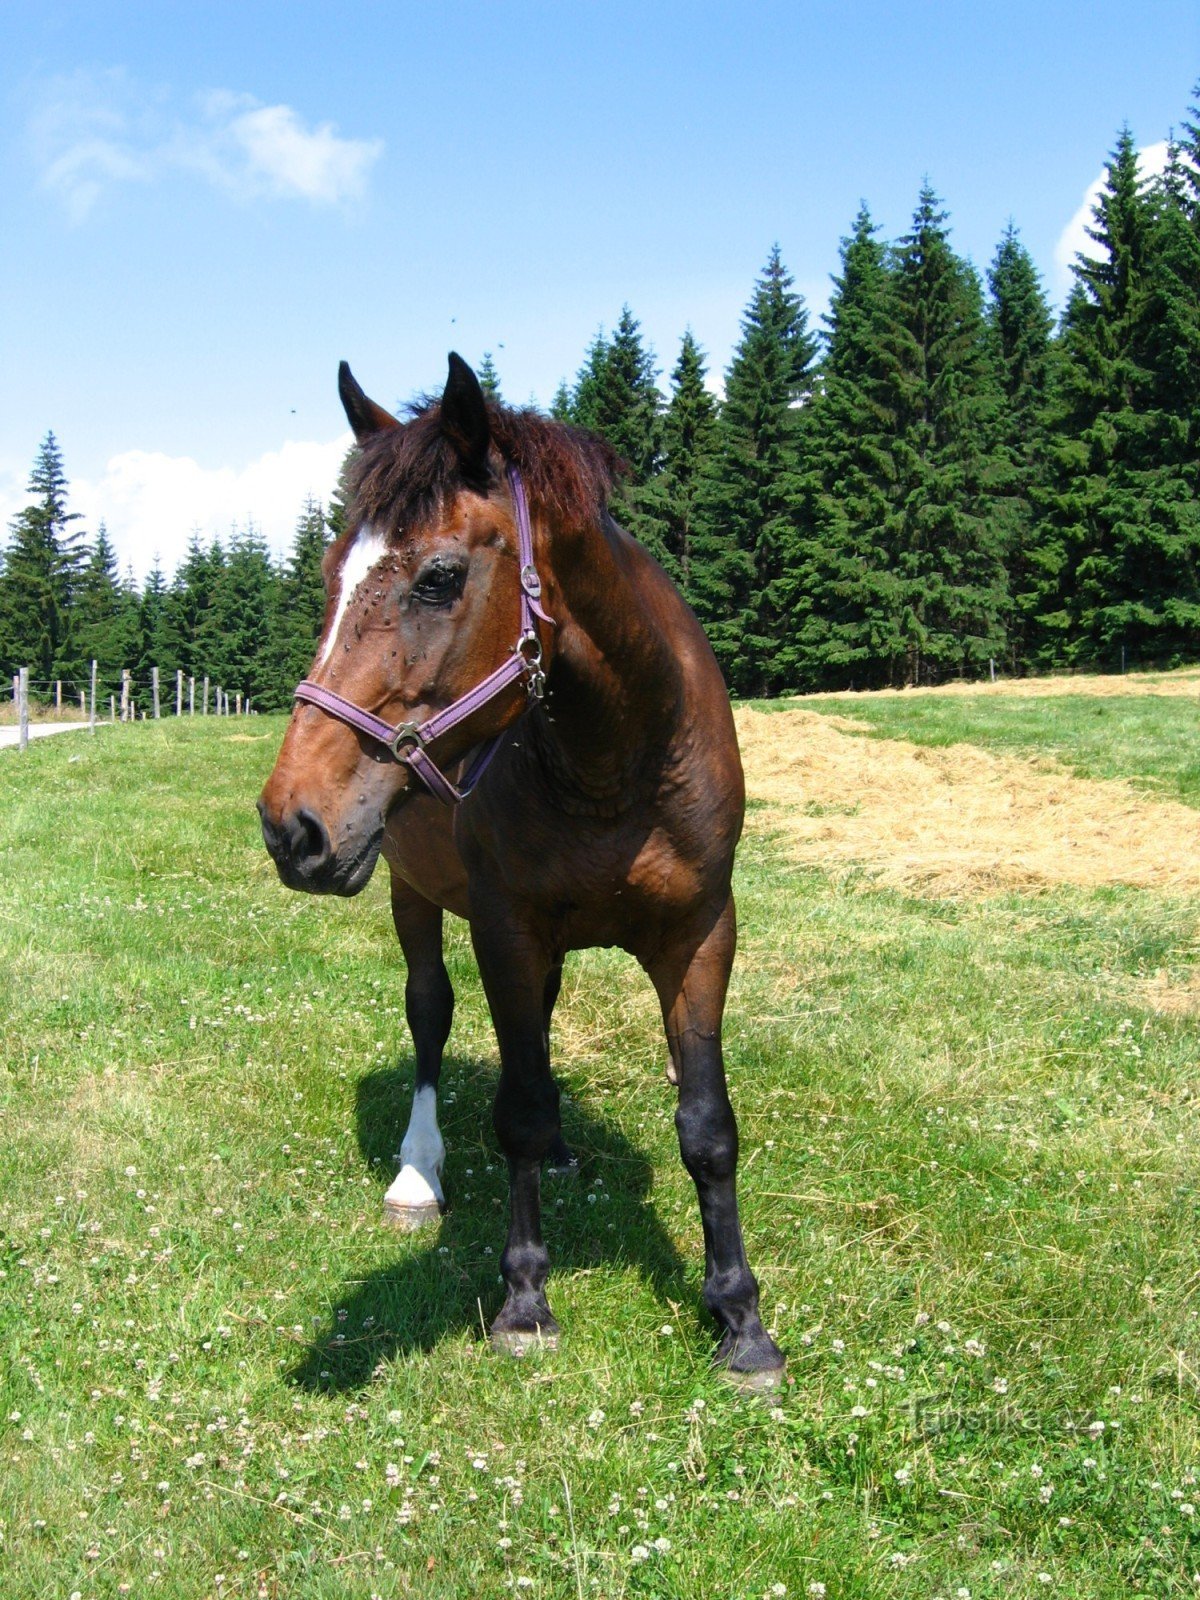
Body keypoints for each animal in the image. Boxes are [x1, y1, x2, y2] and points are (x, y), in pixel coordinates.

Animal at [259, 356, 790, 1382]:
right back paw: (418, 1172)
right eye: (331, 575)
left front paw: (741, 1322)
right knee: (430, 1015)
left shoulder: (702, 932)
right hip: (411, 894)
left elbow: (708, 1127)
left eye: (438, 577)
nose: (289, 826)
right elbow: (516, 1110)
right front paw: (526, 1299)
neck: (616, 760)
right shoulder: (505, 928)